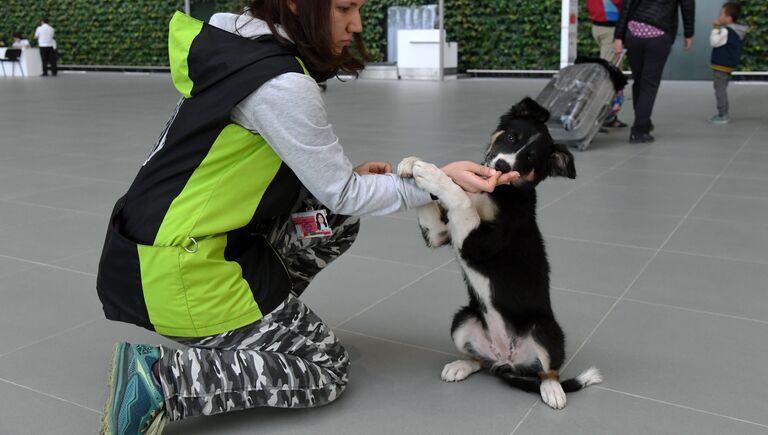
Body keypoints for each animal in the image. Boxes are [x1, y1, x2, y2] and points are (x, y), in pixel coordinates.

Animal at [400, 97, 604, 410]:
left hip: (545, 330)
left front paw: (434, 174)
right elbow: (437, 205)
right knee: (480, 360)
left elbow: (460, 199)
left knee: (550, 371)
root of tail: (507, 361)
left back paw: (553, 391)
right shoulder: (440, 234)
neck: (497, 191)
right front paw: (412, 163)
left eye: (530, 157)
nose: (501, 164)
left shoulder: (478, 243)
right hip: (463, 319)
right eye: (511, 137)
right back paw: (461, 366)